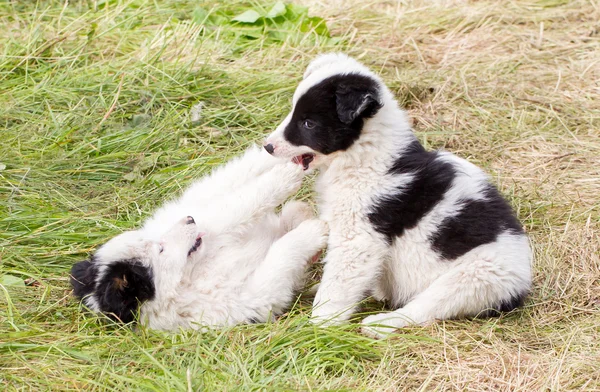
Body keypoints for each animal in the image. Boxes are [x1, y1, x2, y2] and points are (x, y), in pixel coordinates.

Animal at [70, 145, 328, 330]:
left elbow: (240, 197)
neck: (193, 272)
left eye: (157, 241)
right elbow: (278, 249)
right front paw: (313, 231)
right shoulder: (247, 298)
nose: (189, 220)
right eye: (161, 248)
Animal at [264, 53, 532, 338]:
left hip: (476, 276)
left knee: (423, 308)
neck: (363, 156)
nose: (267, 146)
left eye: (308, 123)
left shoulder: (358, 236)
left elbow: (339, 282)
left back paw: (380, 323)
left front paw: (320, 325)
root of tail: (520, 285)